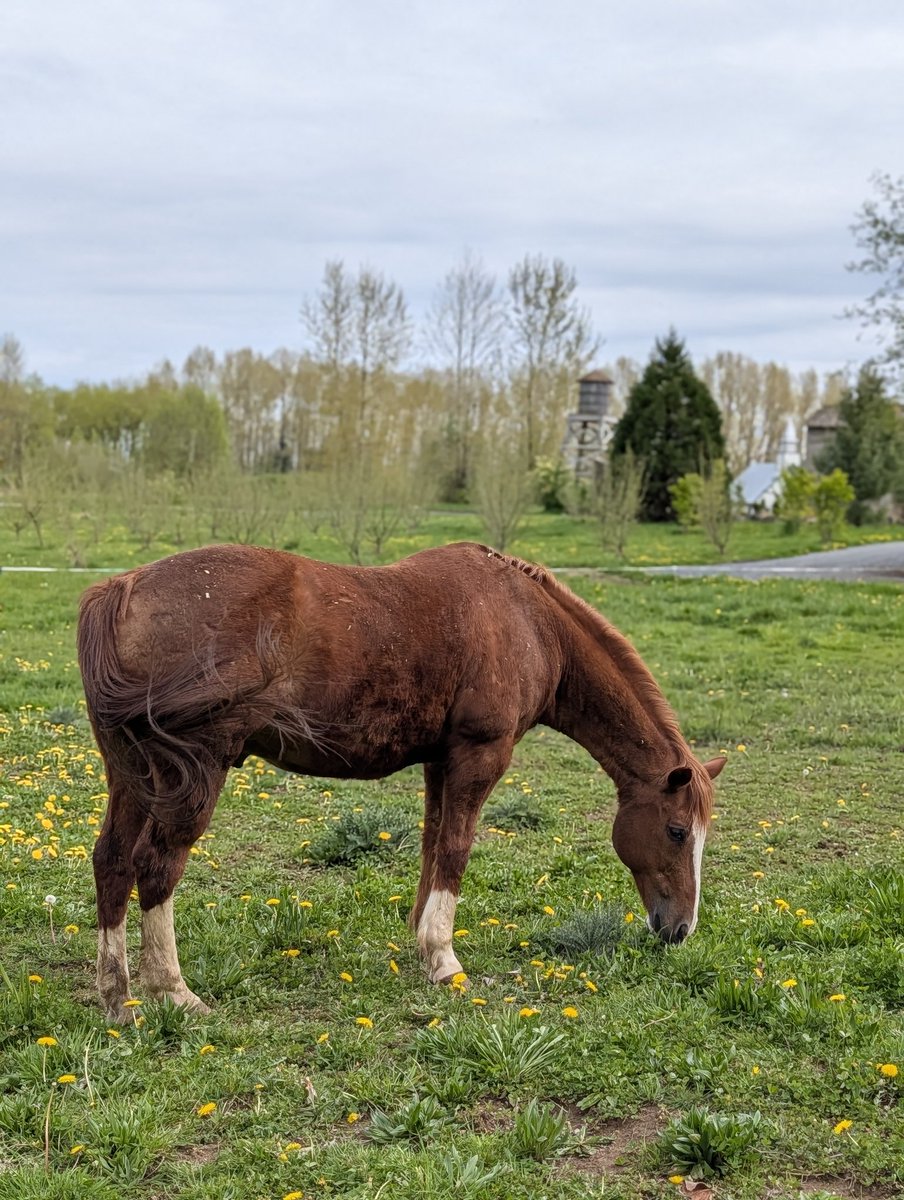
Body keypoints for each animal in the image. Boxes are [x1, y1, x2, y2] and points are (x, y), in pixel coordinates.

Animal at [77, 541, 725, 1022]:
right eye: (675, 831)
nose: (680, 929)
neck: (527, 621)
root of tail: (123, 588)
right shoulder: (480, 757)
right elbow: (456, 851)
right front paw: (444, 959)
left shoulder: (441, 762)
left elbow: (432, 846)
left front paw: (422, 941)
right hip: (194, 774)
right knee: (157, 867)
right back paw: (173, 991)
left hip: (132, 776)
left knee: (112, 860)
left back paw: (118, 997)